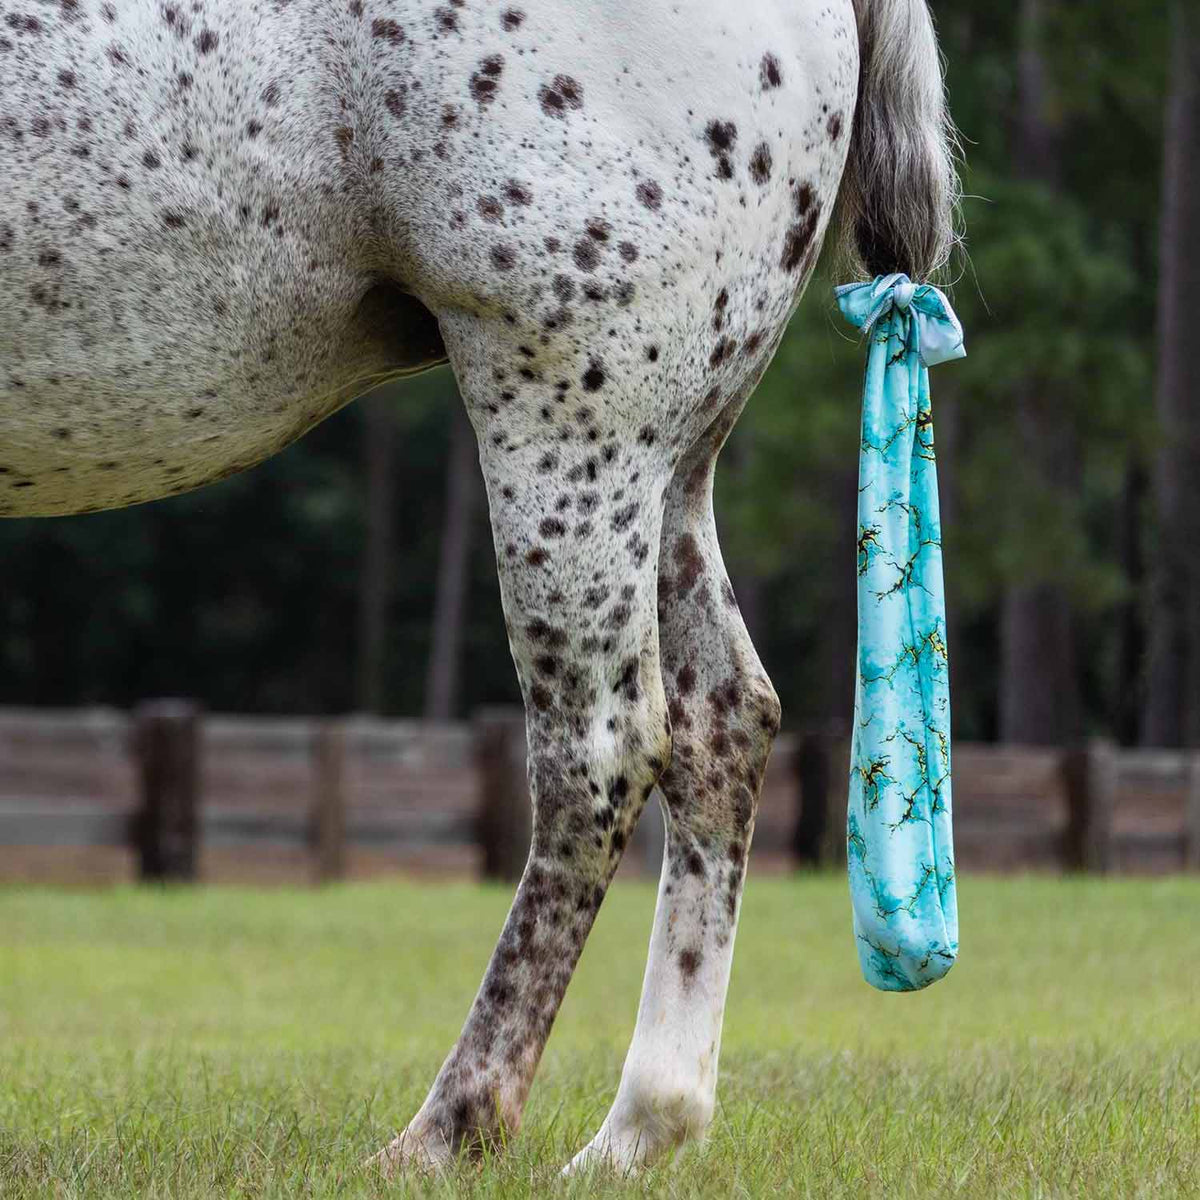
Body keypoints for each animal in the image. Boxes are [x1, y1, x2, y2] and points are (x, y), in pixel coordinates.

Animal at [0, 0, 957, 1172]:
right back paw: (636, 1131)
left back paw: (449, 1127)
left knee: (601, 755)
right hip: (672, 459)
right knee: (725, 721)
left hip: (568, 421)